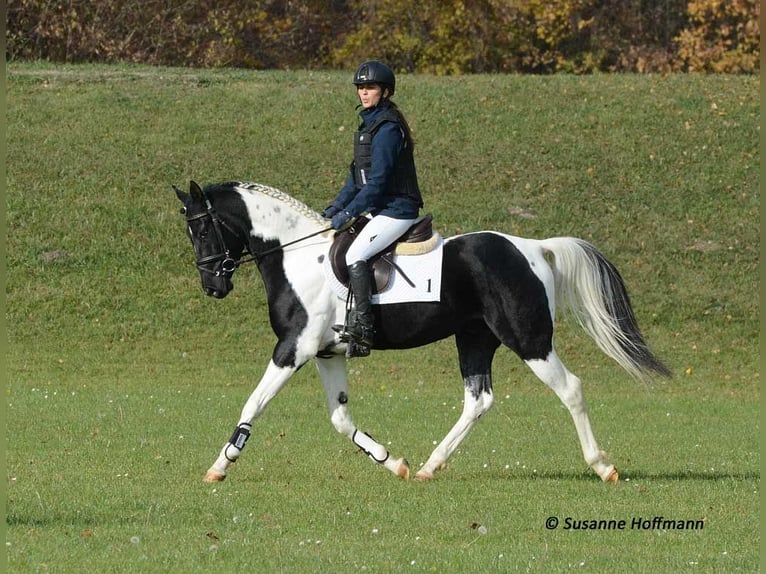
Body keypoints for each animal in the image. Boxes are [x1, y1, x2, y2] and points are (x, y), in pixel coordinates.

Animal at [173, 180, 671, 484]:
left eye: (203, 230)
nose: (213, 285)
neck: (296, 257)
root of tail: (532, 247)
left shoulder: (293, 348)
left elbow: (253, 404)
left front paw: (220, 465)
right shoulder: (327, 353)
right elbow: (340, 419)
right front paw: (392, 462)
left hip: (528, 340)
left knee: (570, 389)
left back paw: (602, 466)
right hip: (474, 338)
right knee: (478, 400)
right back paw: (432, 465)